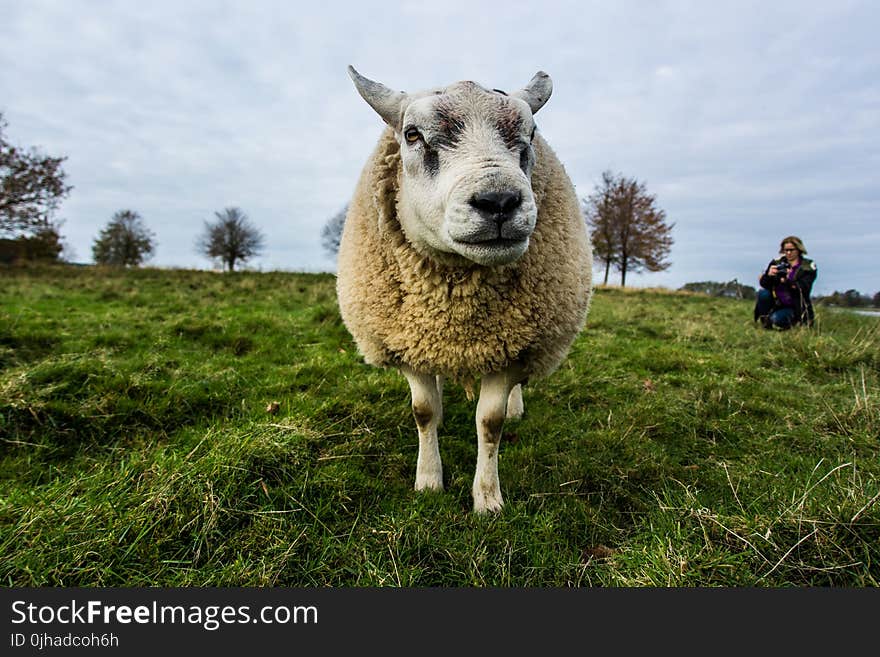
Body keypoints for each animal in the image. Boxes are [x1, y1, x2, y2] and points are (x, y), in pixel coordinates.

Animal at [336, 66, 592, 512]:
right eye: (412, 135)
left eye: (531, 133)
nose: (499, 201)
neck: (455, 303)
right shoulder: (408, 340)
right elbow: (423, 411)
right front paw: (428, 481)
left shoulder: (512, 348)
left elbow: (490, 423)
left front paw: (488, 500)